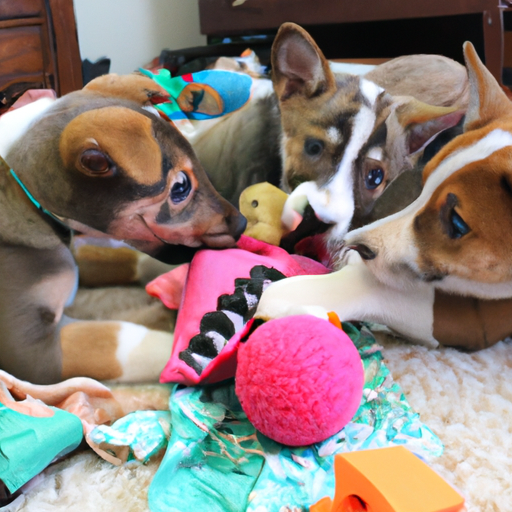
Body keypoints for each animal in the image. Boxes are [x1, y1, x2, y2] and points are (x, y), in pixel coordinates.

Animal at [1, 75, 246, 384]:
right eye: (180, 187)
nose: (242, 224)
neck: (25, 189)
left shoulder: (80, 253)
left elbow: (124, 259)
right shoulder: (32, 352)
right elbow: (123, 341)